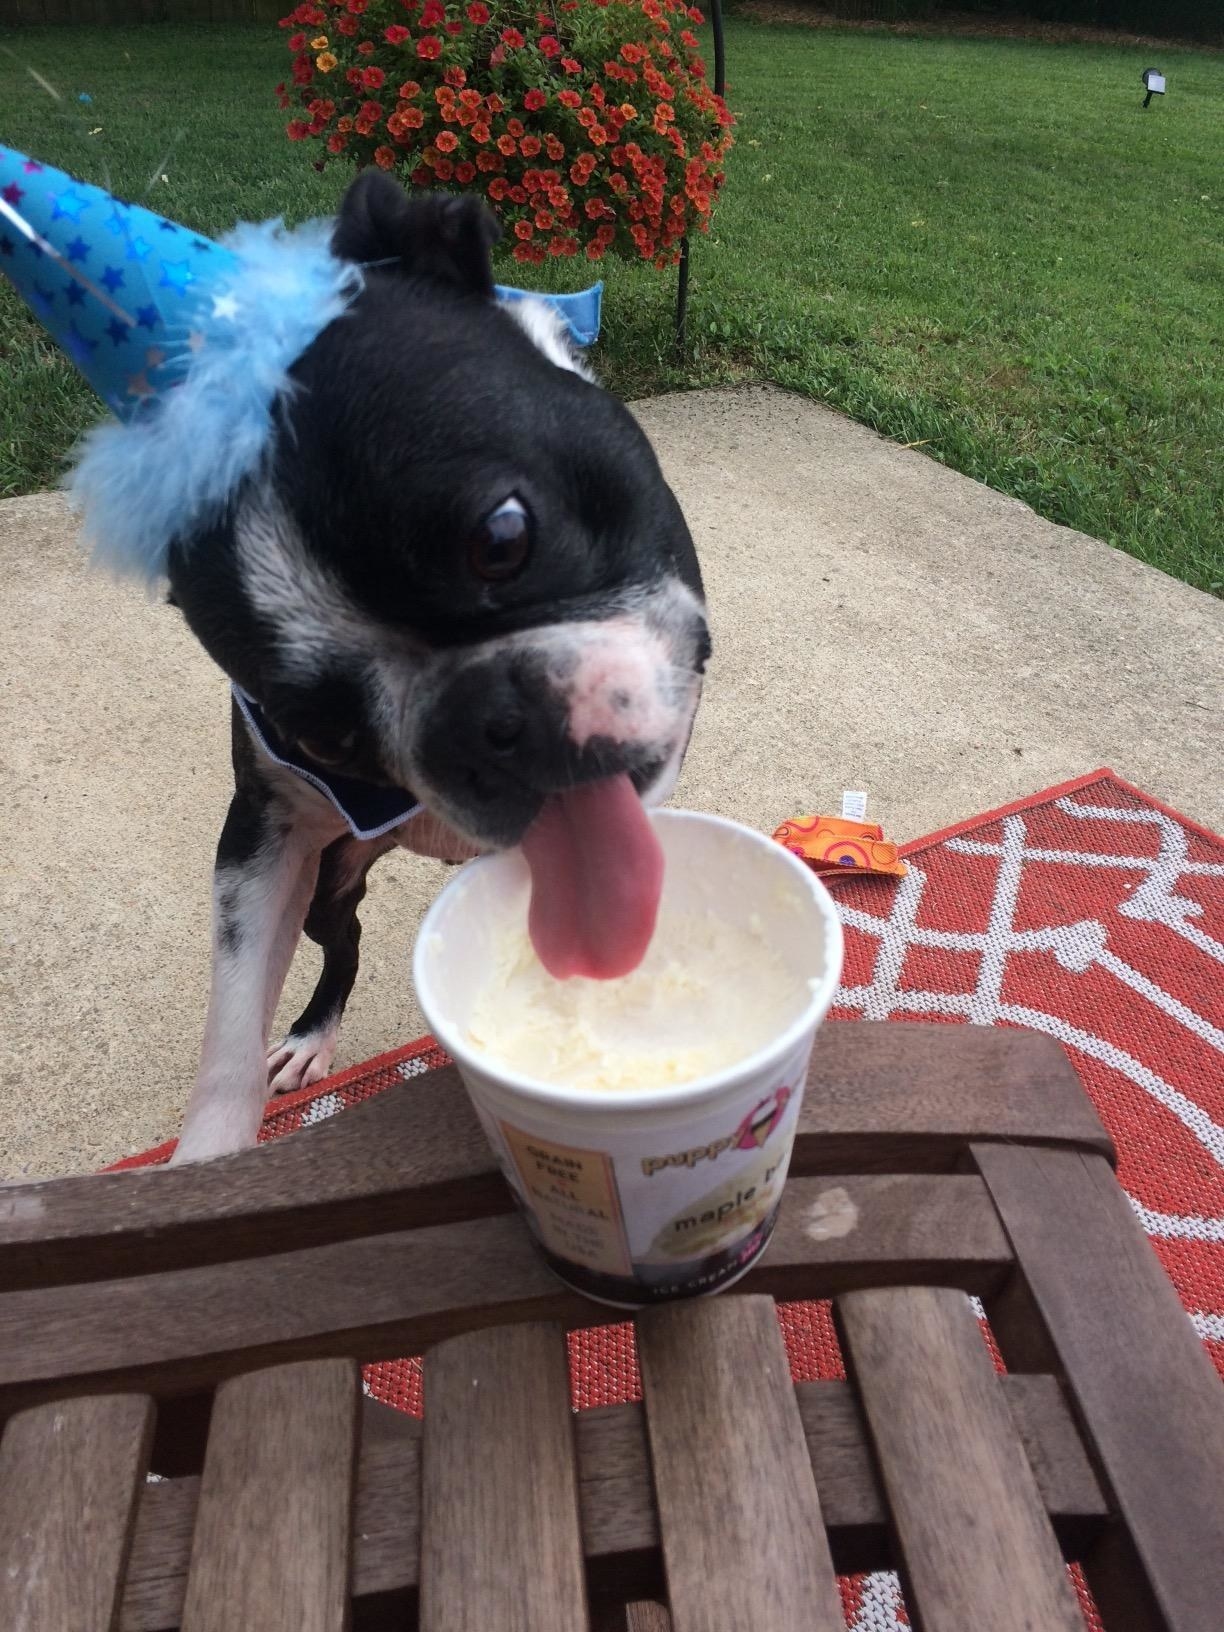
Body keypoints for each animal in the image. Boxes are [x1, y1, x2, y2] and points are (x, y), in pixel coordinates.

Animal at [168, 168, 714, 1161]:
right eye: (321, 734)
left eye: (503, 537)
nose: (488, 722)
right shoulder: (260, 838)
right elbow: (227, 1034)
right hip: (325, 878)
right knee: (340, 941)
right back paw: (309, 1041)